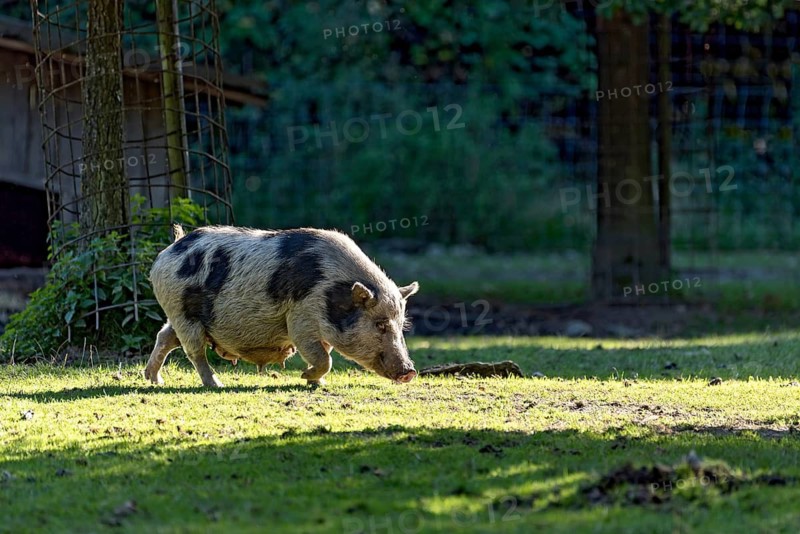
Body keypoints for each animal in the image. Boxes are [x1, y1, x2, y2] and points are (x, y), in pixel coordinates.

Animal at [143, 225, 419, 387]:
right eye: (380, 325)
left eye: (401, 326)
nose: (410, 371)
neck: (333, 294)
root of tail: (170, 250)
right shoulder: (300, 320)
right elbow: (324, 358)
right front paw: (306, 377)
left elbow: (325, 354)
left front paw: (318, 384)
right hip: (183, 313)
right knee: (194, 352)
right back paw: (216, 385)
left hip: (182, 316)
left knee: (165, 336)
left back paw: (155, 379)